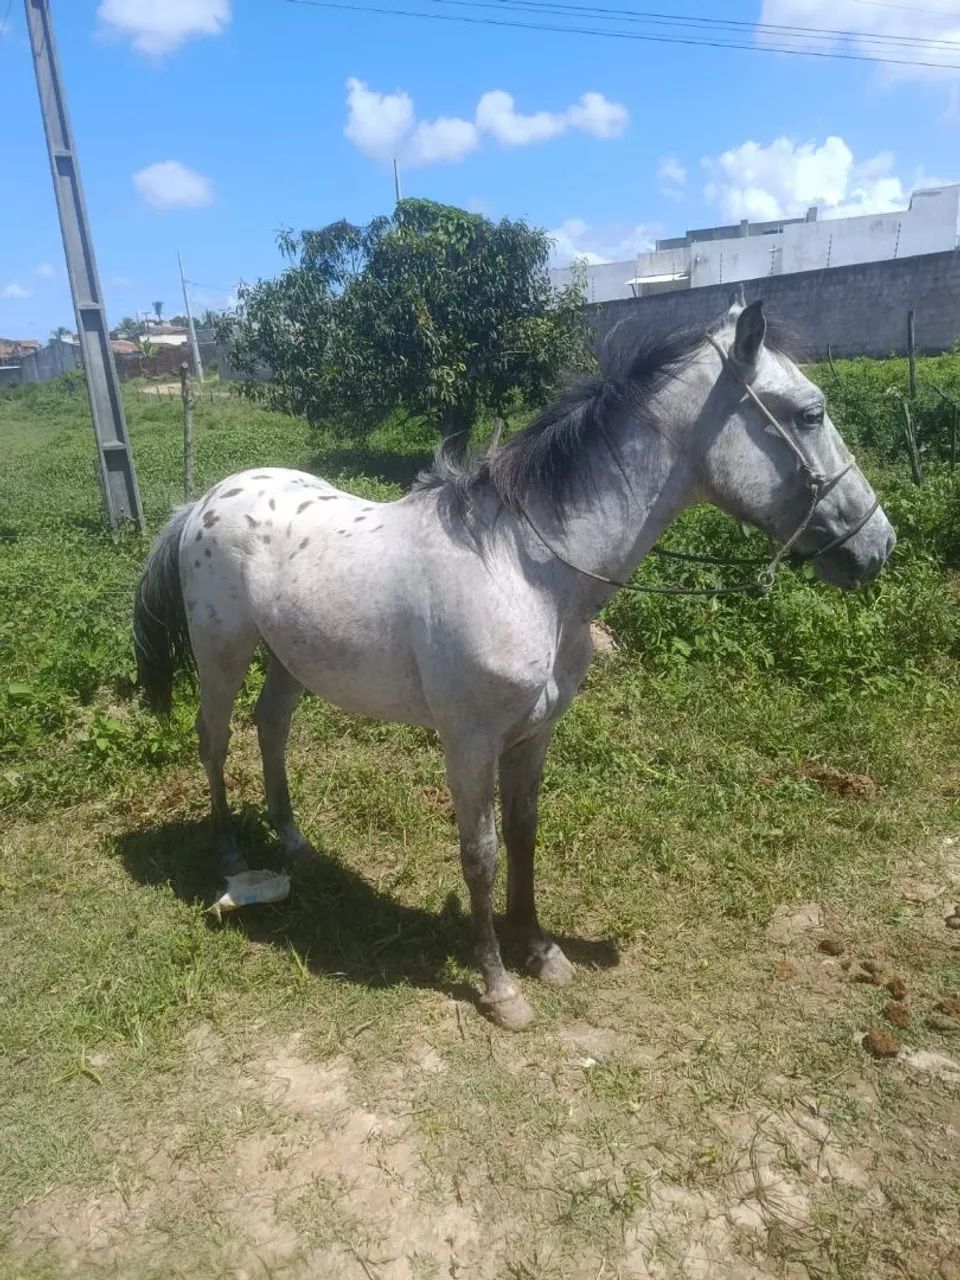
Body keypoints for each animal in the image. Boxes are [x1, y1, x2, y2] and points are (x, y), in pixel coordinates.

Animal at [133, 297, 895, 1030]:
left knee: (272, 728)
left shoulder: (535, 732)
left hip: (292, 661)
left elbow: (525, 835)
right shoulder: (469, 742)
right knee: (215, 739)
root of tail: (200, 503)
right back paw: (232, 856)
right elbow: (482, 854)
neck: (525, 569)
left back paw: (292, 840)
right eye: (810, 412)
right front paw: (499, 987)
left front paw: (539, 949)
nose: (876, 544)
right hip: (224, 656)